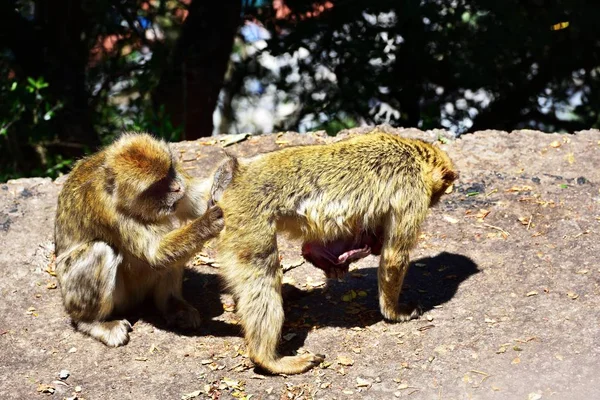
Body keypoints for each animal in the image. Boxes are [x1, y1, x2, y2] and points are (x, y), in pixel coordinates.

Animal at [54, 134, 230, 346]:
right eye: (158, 185)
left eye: (169, 172)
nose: (177, 187)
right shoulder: (109, 211)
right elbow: (155, 254)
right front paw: (209, 221)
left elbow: (197, 201)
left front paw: (227, 171)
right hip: (90, 295)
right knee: (101, 250)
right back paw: (92, 322)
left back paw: (172, 304)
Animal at [218, 132, 458, 376]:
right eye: (440, 191)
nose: (436, 201)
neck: (413, 154)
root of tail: (238, 174)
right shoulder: (413, 193)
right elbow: (393, 257)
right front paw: (394, 312)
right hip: (248, 218)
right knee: (263, 271)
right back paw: (267, 358)